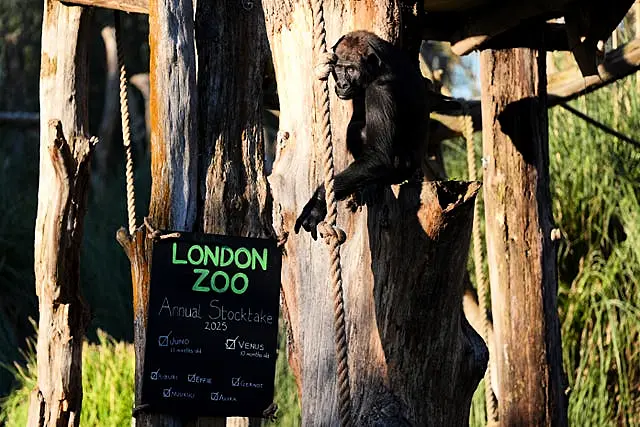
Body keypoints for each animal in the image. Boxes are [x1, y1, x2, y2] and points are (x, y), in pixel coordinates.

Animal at [296, 30, 456, 241]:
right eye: (339, 68)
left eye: (351, 69)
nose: (342, 83)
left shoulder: (381, 90)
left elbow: (379, 155)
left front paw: (317, 203)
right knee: (355, 128)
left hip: (399, 170)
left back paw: (373, 185)